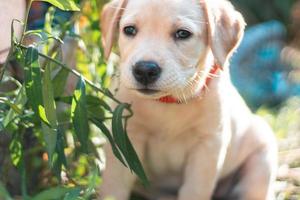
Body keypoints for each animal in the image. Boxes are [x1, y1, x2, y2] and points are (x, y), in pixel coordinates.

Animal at [99, 0, 278, 200]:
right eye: (129, 30)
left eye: (183, 34)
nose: (144, 70)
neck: (168, 101)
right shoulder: (124, 137)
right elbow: (114, 187)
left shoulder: (207, 147)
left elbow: (195, 190)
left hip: (261, 158)